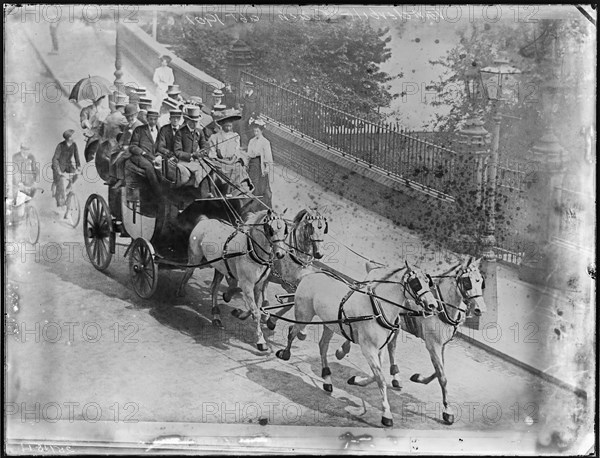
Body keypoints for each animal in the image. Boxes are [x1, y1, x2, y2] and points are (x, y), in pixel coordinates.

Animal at [177, 210, 288, 350]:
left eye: (285, 230)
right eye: (271, 230)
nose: (281, 254)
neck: (252, 251)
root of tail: (205, 220)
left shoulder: (257, 285)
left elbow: (254, 308)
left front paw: (239, 314)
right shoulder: (247, 284)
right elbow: (255, 310)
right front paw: (261, 341)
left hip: (219, 267)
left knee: (214, 288)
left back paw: (216, 316)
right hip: (195, 258)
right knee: (188, 272)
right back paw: (180, 291)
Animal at [274, 262, 438, 428]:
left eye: (428, 282)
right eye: (416, 283)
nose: (433, 305)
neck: (378, 309)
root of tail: (311, 274)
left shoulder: (379, 349)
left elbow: (376, 375)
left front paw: (356, 380)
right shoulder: (368, 349)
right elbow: (380, 378)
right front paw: (386, 414)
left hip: (330, 324)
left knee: (322, 346)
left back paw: (327, 379)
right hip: (304, 315)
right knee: (292, 331)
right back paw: (285, 353)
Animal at [336, 256, 490, 424]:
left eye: (481, 281)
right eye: (467, 281)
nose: (480, 309)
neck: (441, 306)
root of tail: (375, 268)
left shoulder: (442, 345)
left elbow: (439, 370)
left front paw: (419, 378)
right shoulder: (433, 344)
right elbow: (442, 376)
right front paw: (447, 410)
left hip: (394, 324)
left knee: (391, 346)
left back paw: (394, 375)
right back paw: (342, 350)